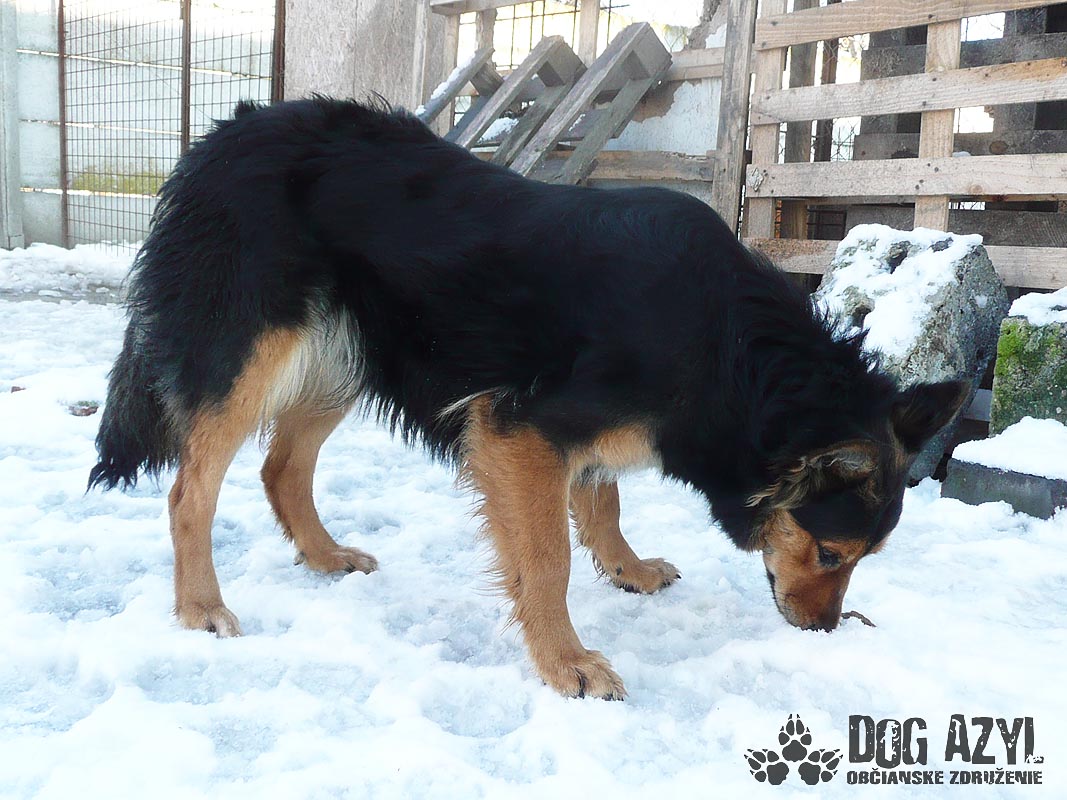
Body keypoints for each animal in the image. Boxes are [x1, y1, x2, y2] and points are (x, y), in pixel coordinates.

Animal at [90, 97, 967, 699]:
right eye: (830, 554)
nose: (821, 630)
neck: (729, 352)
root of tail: (228, 133)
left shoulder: (577, 433)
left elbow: (604, 500)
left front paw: (626, 567)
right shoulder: (520, 429)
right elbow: (546, 560)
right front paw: (565, 661)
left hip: (351, 350)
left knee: (280, 468)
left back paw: (324, 554)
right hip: (253, 352)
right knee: (190, 490)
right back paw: (200, 607)